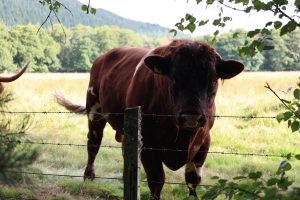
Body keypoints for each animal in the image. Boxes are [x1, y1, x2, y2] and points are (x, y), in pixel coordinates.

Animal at [56, 38, 244, 198]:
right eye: (173, 79)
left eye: (212, 81)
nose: (191, 116)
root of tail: (103, 56)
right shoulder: (148, 145)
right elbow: (156, 181)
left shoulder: (204, 142)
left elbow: (192, 180)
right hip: (95, 111)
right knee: (93, 144)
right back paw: (89, 176)